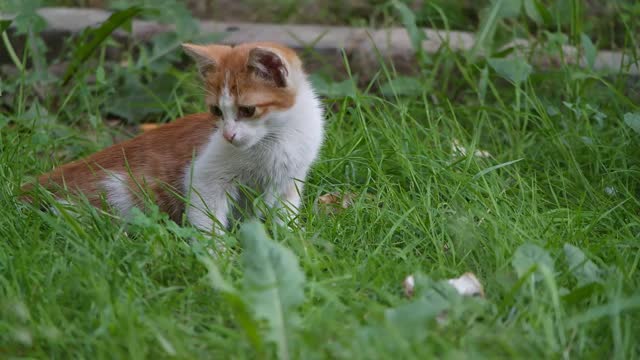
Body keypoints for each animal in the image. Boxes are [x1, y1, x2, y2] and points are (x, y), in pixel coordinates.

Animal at [25, 41, 324, 233]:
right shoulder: (204, 176)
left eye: (247, 110)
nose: (228, 135)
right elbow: (208, 217)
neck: (279, 137)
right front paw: (217, 256)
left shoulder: (290, 182)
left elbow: (285, 216)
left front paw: (292, 242)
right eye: (216, 110)